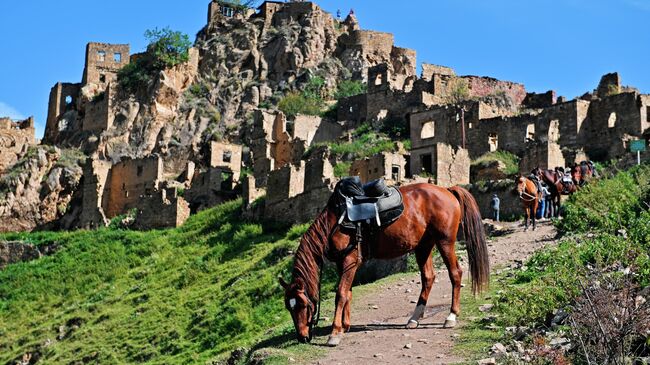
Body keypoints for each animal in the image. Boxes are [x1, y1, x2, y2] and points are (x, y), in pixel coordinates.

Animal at [278, 183, 486, 346]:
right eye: (288, 306)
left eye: (303, 304)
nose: (302, 337)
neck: (334, 223)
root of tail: (446, 190)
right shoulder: (342, 264)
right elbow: (348, 293)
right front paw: (345, 325)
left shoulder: (350, 261)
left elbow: (341, 294)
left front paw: (335, 333)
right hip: (424, 246)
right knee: (428, 277)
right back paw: (413, 319)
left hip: (445, 242)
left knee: (455, 273)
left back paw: (451, 316)